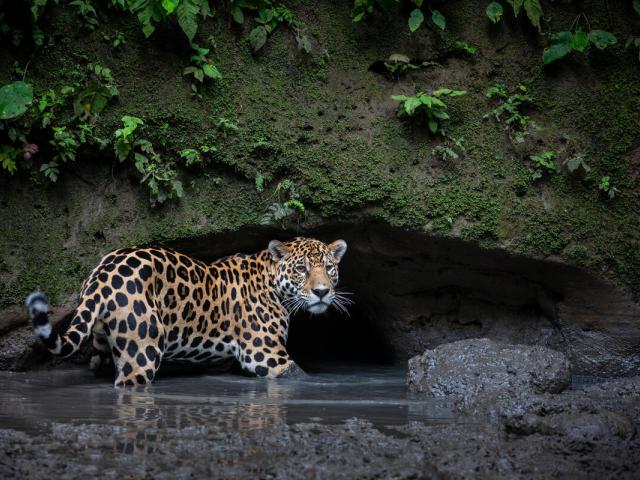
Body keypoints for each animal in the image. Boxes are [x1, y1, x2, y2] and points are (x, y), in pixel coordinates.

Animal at [25, 237, 349, 386]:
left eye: (329, 268)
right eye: (301, 269)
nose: (322, 292)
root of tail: (103, 271)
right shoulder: (267, 356)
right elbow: (300, 376)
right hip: (143, 350)